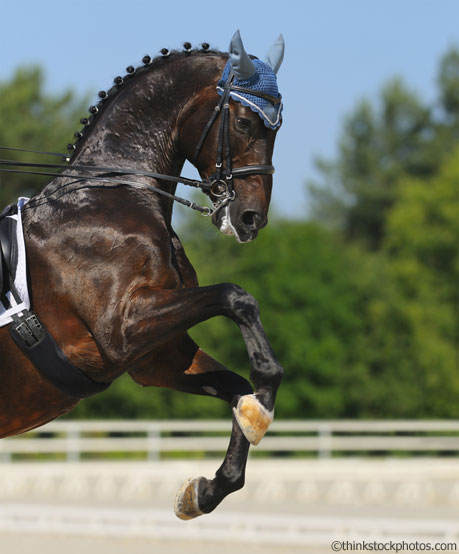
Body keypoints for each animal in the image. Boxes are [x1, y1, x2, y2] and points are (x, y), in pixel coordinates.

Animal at [0, 31, 286, 516]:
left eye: (277, 126)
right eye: (247, 122)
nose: (251, 219)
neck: (113, 191)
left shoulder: (157, 357)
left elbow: (233, 386)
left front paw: (205, 490)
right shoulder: (120, 332)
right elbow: (235, 296)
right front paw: (262, 405)